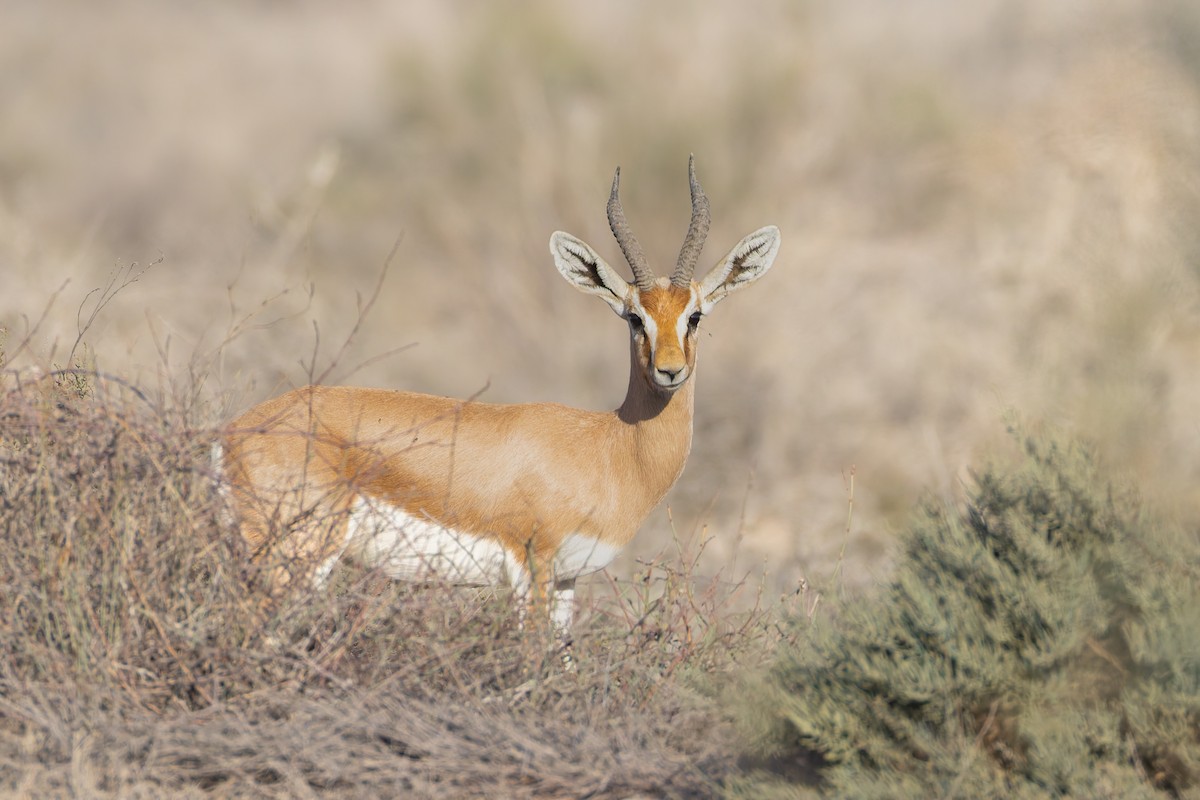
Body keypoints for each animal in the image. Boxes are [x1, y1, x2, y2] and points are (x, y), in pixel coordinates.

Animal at [218, 157, 780, 630]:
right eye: (634, 317)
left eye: (695, 315)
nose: (669, 371)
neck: (610, 447)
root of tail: (230, 433)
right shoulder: (532, 568)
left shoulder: (566, 580)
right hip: (294, 561)